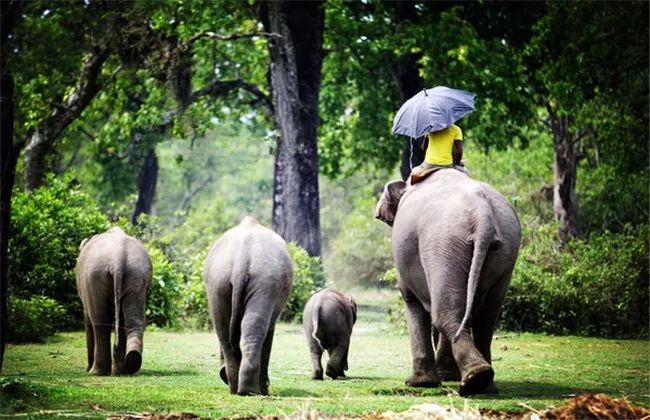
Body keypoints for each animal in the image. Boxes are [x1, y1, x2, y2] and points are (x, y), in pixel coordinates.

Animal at [75, 228, 151, 376]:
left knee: (99, 323)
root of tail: (118, 259)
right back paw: (127, 365)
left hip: (94, 277)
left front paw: (87, 369)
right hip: (137, 274)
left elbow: (88, 319)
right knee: (133, 321)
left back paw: (96, 372)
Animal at [204, 215, 292, 396]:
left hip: (218, 281)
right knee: (254, 328)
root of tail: (241, 259)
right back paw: (251, 391)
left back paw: (237, 389)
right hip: (265, 279)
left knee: (224, 331)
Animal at [372, 168, 520, 398]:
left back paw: (474, 379)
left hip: (442, 244)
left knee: (445, 313)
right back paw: (484, 382)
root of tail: (483, 214)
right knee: (486, 316)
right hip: (505, 251)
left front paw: (419, 383)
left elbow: (412, 301)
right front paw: (445, 377)